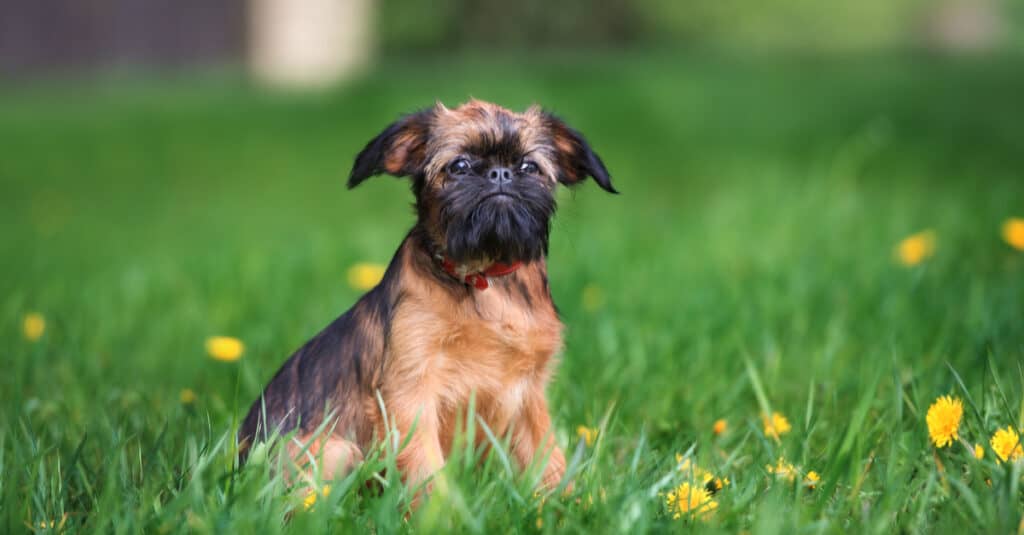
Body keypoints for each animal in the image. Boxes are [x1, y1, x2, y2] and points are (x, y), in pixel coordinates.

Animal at [235, 98, 610, 496]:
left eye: (528, 166)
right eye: (459, 166)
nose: (501, 174)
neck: (484, 279)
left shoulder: (528, 398)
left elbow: (549, 460)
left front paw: (568, 503)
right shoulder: (411, 393)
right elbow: (425, 470)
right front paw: (442, 510)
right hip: (335, 449)